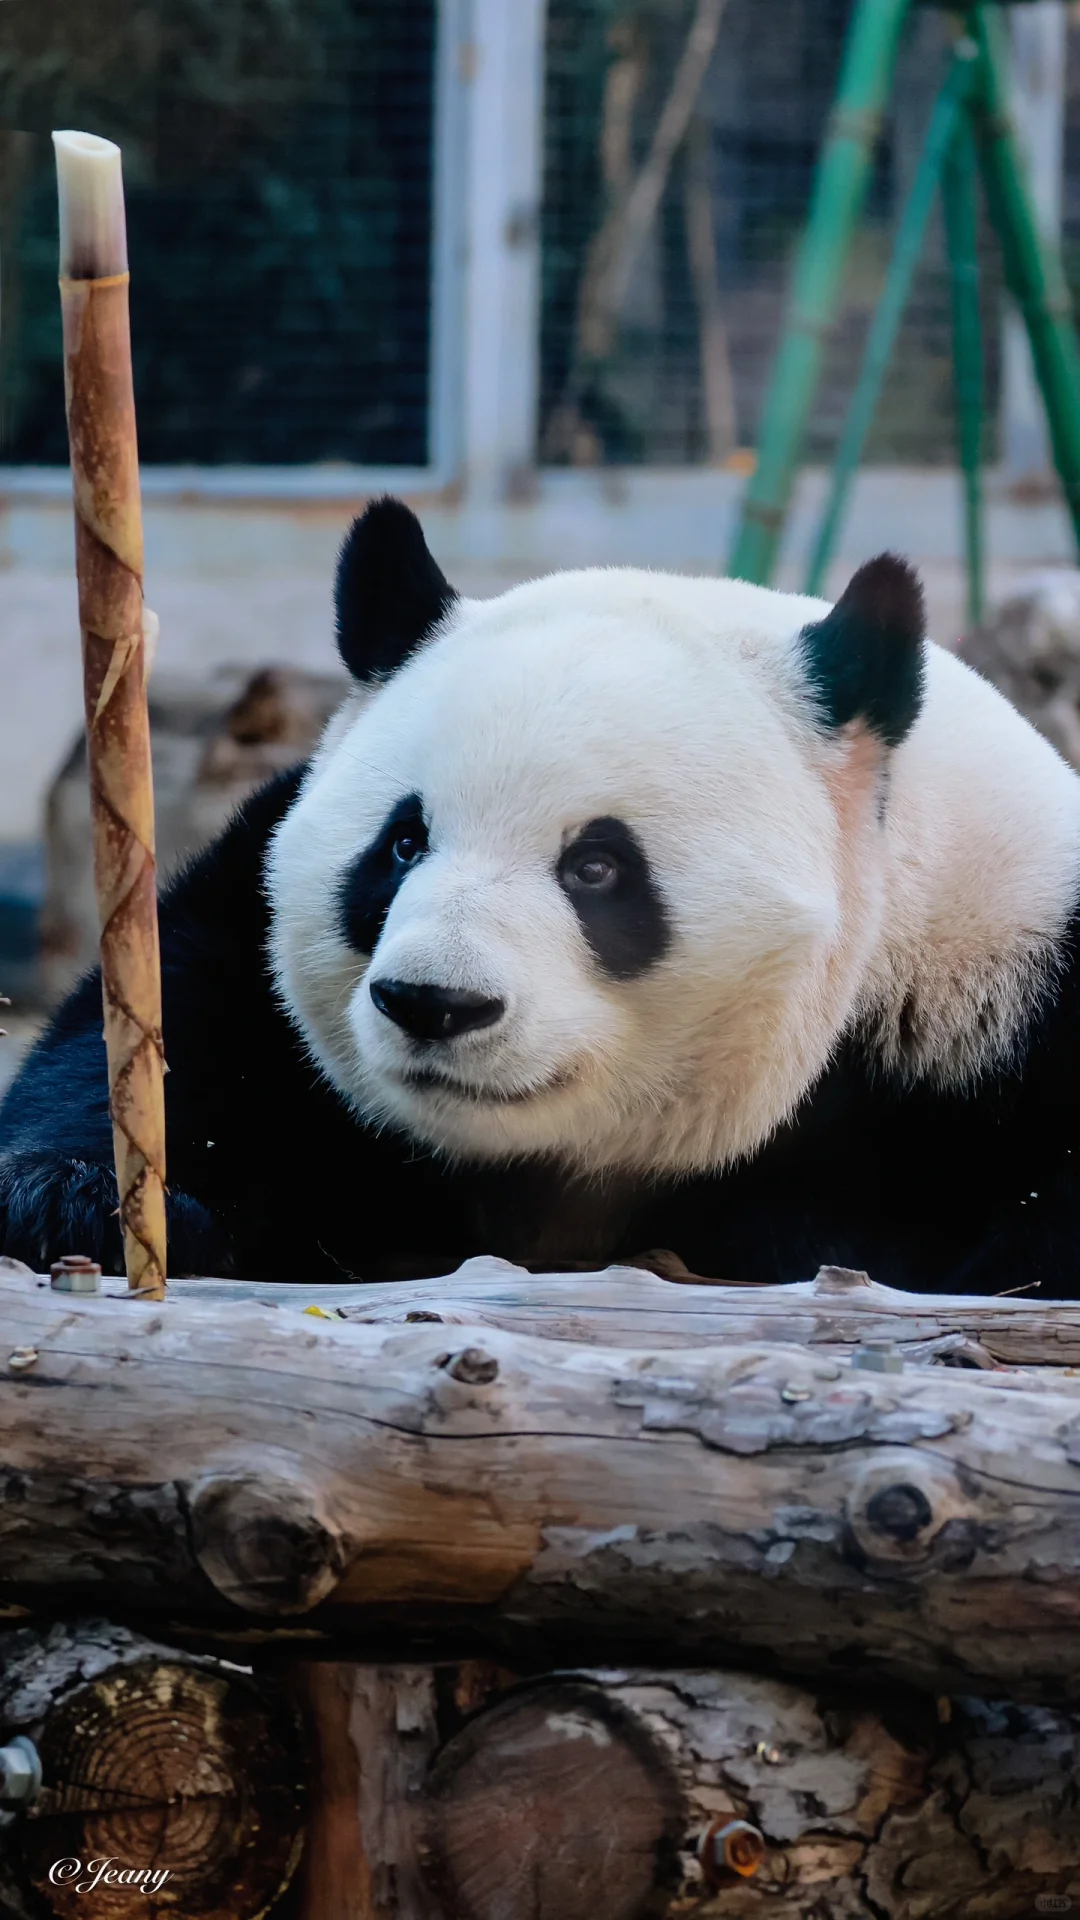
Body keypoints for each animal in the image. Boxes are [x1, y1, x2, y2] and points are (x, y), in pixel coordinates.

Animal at [2, 495, 1076, 1290]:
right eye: (402, 844)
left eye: (597, 868)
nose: (433, 1004)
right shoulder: (249, 916)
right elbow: (166, 1022)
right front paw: (74, 1200)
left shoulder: (1006, 990)